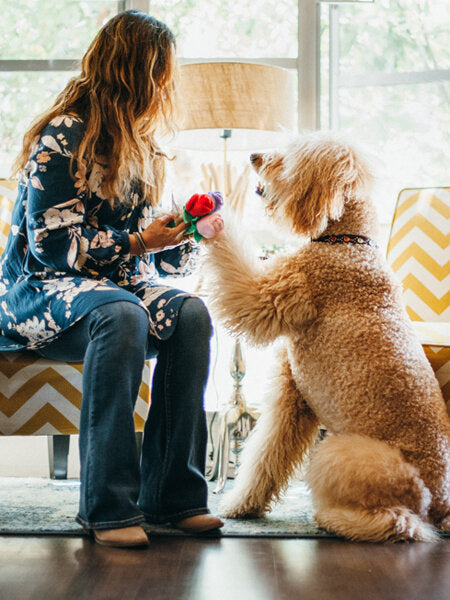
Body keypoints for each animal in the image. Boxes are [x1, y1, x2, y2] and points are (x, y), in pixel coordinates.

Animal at [204, 132, 450, 544]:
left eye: (287, 159)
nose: (253, 155)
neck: (347, 241)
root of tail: (443, 504)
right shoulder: (293, 396)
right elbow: (266, 457)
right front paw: (246, 505)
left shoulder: (263, 296)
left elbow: (235, 262)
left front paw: (212, 219)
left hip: (342, 453)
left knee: (401, 523)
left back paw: (333, 519)